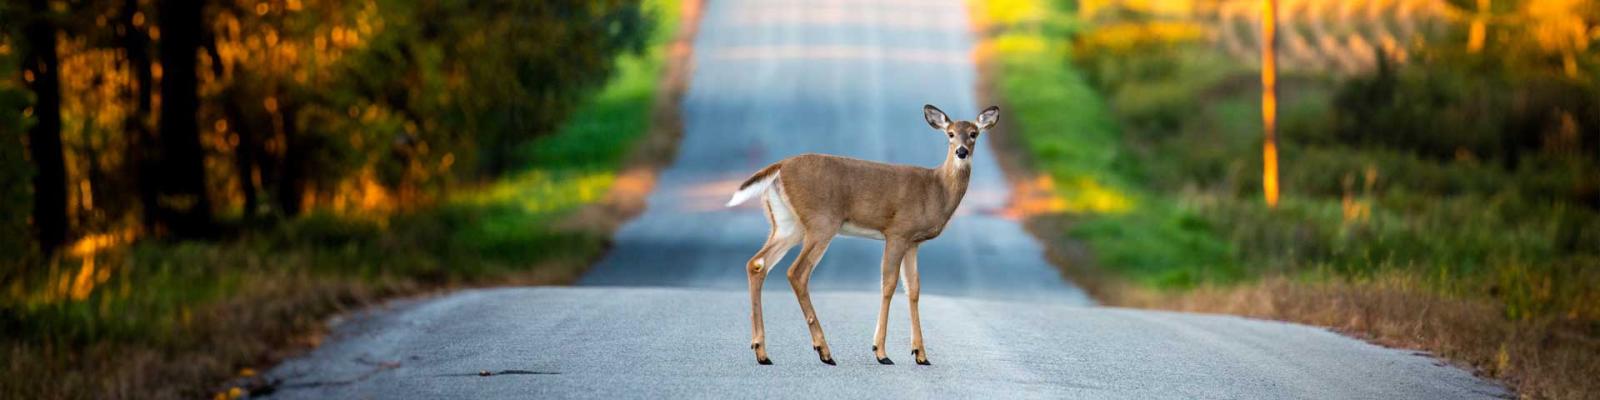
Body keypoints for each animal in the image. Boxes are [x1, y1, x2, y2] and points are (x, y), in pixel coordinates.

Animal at [725, 104, 999, 366]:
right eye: (950, 134)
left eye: (973, 133)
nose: (961, 151)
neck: (936, 189)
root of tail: (779, 167)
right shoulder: (897, 231)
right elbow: (888, 285)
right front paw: (881, 352)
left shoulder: (914, 242)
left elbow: (913, 289)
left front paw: (921, 355)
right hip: (822, 222)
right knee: (797, 272)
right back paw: (824, 351)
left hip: (787, 224)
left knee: (757, 264)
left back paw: (762, 352)